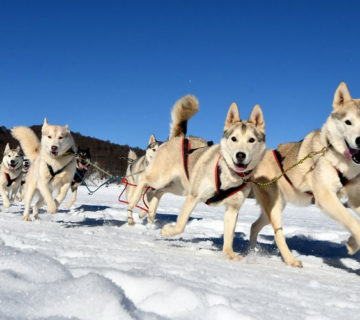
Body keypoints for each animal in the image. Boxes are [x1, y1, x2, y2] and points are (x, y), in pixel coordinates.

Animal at [128, 95, 266, 260]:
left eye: (251, 140)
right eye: (234, 139)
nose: (240, 155)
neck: (228, 174)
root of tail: (178, 138)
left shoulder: (233, 209)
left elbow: (229, 236)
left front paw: (230, 255)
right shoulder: (193, 196)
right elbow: (181, 224)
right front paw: (167, 231)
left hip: (179, 187)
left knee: (157, 192)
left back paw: (149, 212)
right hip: (161, 177)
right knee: (144, 180)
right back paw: (132, 204)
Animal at [252, 81, 360, 266]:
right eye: (348, 122)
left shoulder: (354, 198)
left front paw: (352, 243)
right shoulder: (325, 197)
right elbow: (353, 221)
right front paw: (353, 245)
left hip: (273, 209)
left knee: (254, 226)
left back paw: (250, 251)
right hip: (274, 206)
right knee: (278, 234)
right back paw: (291, 260)